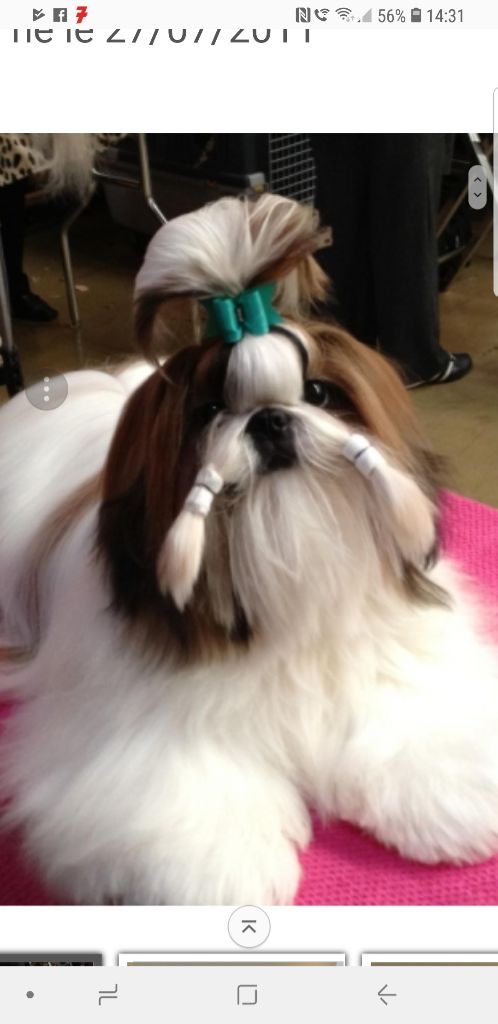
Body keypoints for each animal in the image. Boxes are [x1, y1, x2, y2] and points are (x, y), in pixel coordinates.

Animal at [0, 193, 497, 905]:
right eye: (209, 412)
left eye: (318, 393)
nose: (269, 420)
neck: (290, 595)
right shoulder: (135, 728)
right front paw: (218, 867)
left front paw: (447, 789)